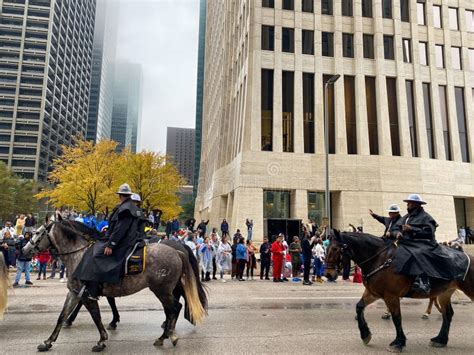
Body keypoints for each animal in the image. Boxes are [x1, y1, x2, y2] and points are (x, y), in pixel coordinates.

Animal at [23, 221, 206, 352]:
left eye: (38, 233)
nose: (24, 250)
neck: (79, 256)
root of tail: (178, 251)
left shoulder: (86, 295)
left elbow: (96, 316)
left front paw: (102, 340)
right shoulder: (74, 293)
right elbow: (62, 316)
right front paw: (48, 342)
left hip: (162, 290)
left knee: (175, 308)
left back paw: (169, 336)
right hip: (165, 291)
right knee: (172, 310)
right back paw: (166, 335)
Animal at [326, 231, 474, 354]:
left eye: (335, 249)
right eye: (326, 248)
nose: (328, 274)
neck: (380, 259)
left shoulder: (391, 296)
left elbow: (397, 318)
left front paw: (398, 342)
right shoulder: (373, 293)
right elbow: (359, 307)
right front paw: (365, 334)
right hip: (445, 293)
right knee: (447, 314)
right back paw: (440, 339)